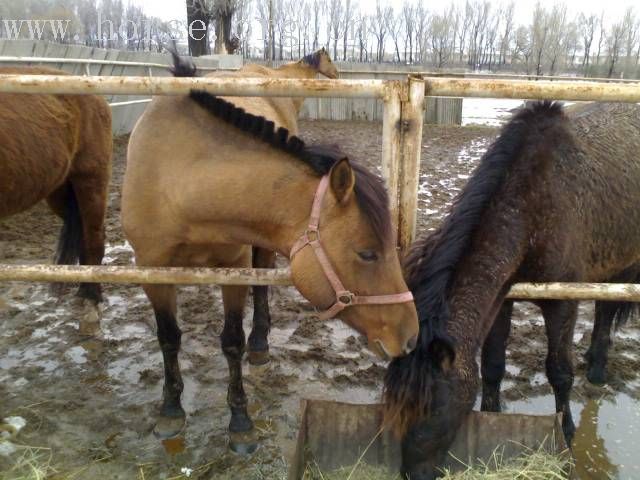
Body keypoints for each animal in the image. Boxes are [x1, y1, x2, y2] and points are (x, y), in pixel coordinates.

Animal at [382, 102, 640, 480]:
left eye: (432, 409)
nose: (414, 474)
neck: (533, 204)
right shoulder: (504, 296)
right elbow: (492, 365)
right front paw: (493, 416)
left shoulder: (562, 302)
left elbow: (559, 372)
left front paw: (566, 432)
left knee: (605, 310)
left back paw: (595, 371)